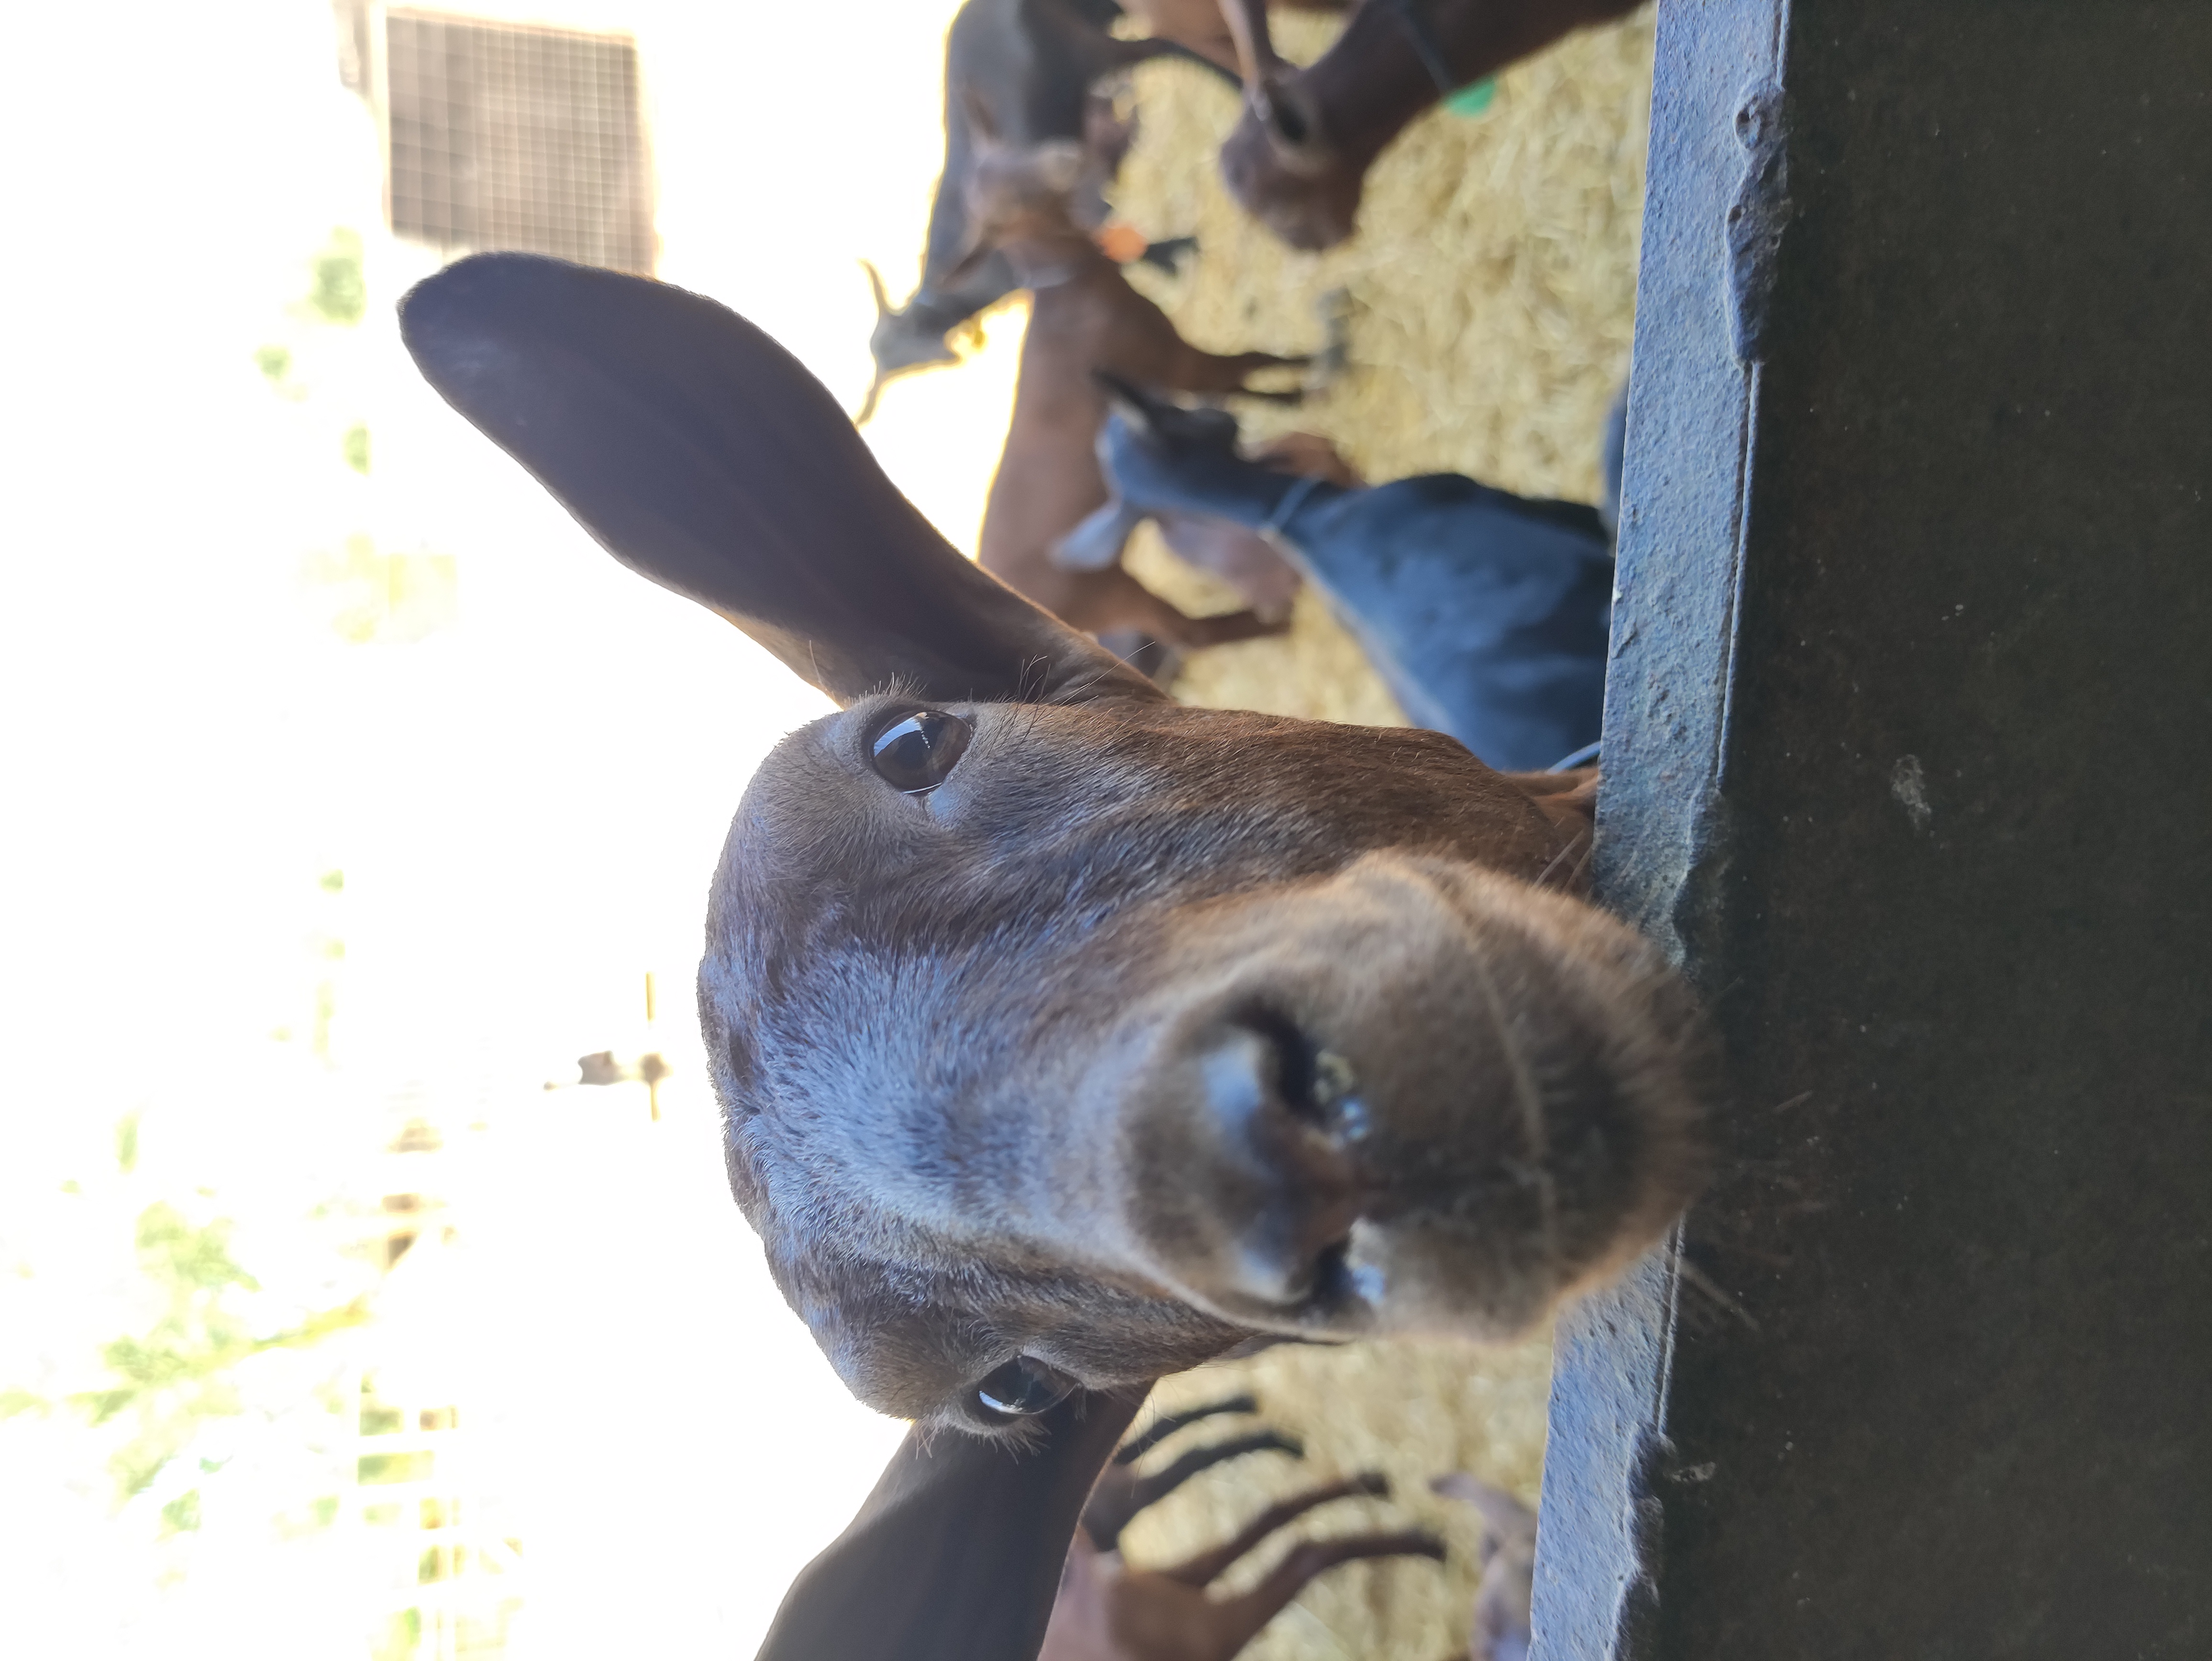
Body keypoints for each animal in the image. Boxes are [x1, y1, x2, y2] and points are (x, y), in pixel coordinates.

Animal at [953, 106, 1315, 650]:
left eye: (1013, 153)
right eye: (1007, 207)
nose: (1065, 157)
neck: (1074, 298)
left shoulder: (1174, 375)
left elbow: (1238, 383)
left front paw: (1296, 396)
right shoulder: (1178, 361)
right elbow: (1249, 360)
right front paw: (1321, 371)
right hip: (1108, 590)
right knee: (1188, 633)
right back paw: (1277, 620)